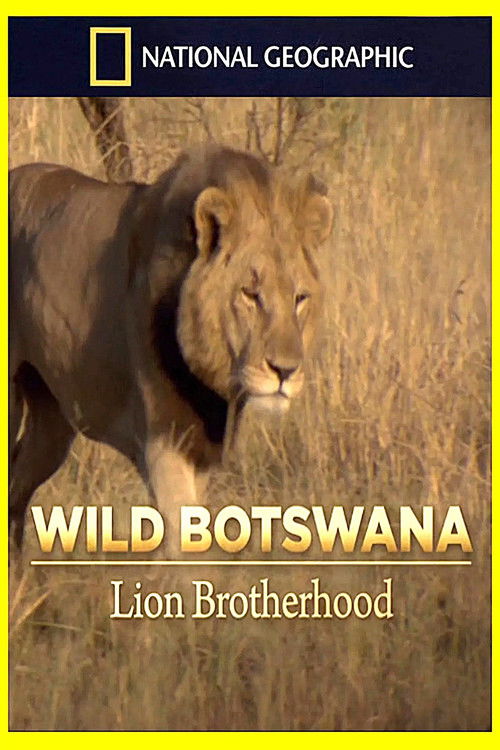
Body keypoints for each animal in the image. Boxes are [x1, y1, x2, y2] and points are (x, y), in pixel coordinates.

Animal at [9, 144, 332, 546]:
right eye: (250, 294)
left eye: (300, 299)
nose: (285, 371)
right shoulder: (164, 440)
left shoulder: (204, 448)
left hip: (52, 421)